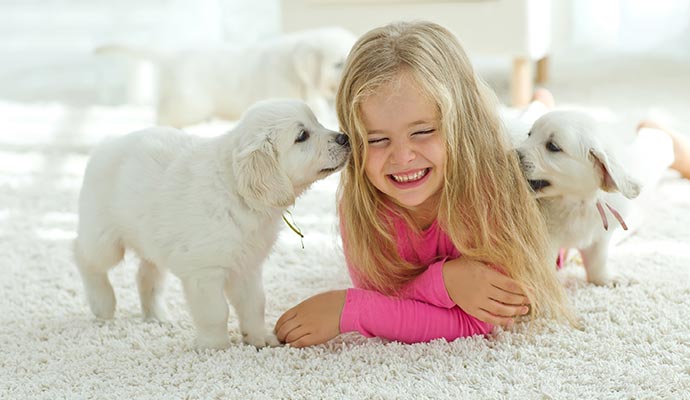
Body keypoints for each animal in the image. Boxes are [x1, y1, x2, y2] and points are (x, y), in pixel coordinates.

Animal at [74, 98, 350, 348]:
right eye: (302, 136)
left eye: (317, 122)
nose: (344, 138)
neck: (238, 193)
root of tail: (105, 144)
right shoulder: (205, 271)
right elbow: (216, 312)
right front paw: (215, 346)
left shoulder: (247, 266)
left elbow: (254, 304)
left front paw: (258, 338)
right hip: (104, 238)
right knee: (83, 257)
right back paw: (103, 303)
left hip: (152, 239)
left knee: (146, 273)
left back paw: (157, 316)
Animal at [510, 109, 640, 284]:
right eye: (529, 134)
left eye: (552, 146)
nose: (510, 154)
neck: (576, 202)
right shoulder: (546, 240)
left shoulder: (600, 235)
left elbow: (598, 260)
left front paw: (605, 279)